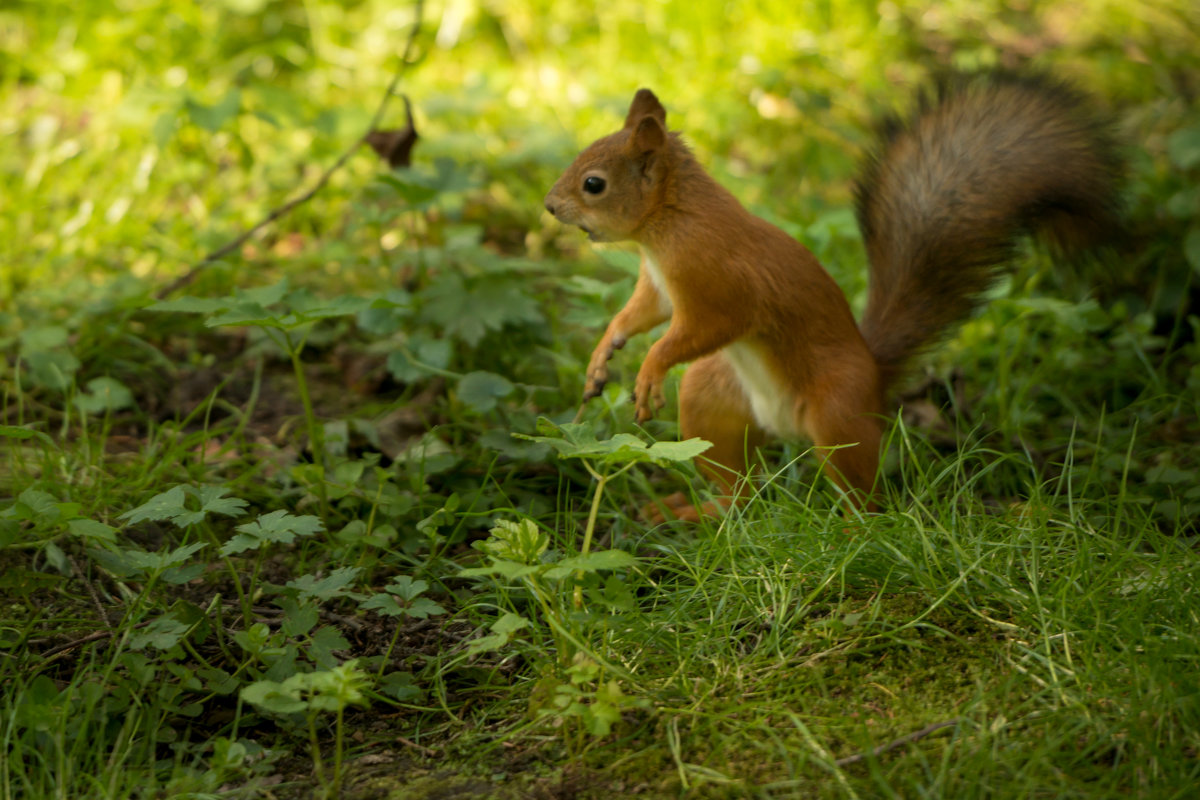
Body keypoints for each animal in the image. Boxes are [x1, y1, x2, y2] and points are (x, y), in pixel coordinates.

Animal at [544, 74, 1123, 522]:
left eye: (593, 184)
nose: (550, 207)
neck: (667, 220)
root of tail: (874, 376)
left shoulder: (717, 281)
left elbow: (703, 326)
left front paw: (650, 369)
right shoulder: (658, 284)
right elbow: (640, 313)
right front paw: (604, 353)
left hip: (837, 415)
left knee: (864, 497)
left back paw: (852, 530)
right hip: (714, 400)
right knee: (740, 491)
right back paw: (692, 511)